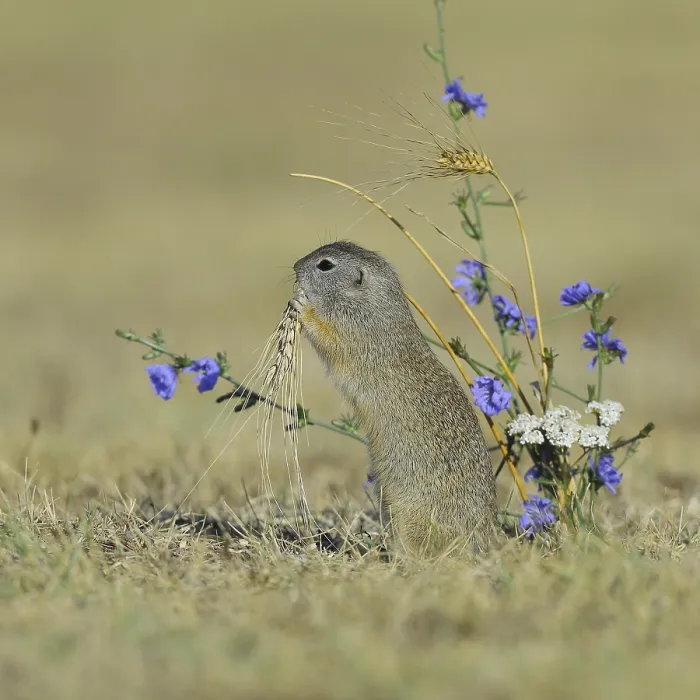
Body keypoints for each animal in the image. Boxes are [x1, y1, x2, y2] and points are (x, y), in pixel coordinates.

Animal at [291, 240, 498, 557]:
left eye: (325, 265)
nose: (294, 267)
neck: (370, 303)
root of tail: (486, 536)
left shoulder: (353, 334)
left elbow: (328, 336)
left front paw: (302, 306)